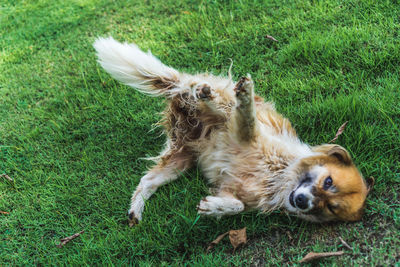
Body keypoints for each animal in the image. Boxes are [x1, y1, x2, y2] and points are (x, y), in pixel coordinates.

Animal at [92, 37, 374, 226]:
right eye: (328, 181)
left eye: (331, 207)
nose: (303, 202)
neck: (279, 175)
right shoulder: (244, 134)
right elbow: (247, 121)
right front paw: (245, 97)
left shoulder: (233, 189)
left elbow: (237, 205)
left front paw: (215, 208)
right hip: (214, 109)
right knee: (218, 100)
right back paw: (223, 92)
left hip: (181, 161)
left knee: (146, 181)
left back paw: (135, 210)